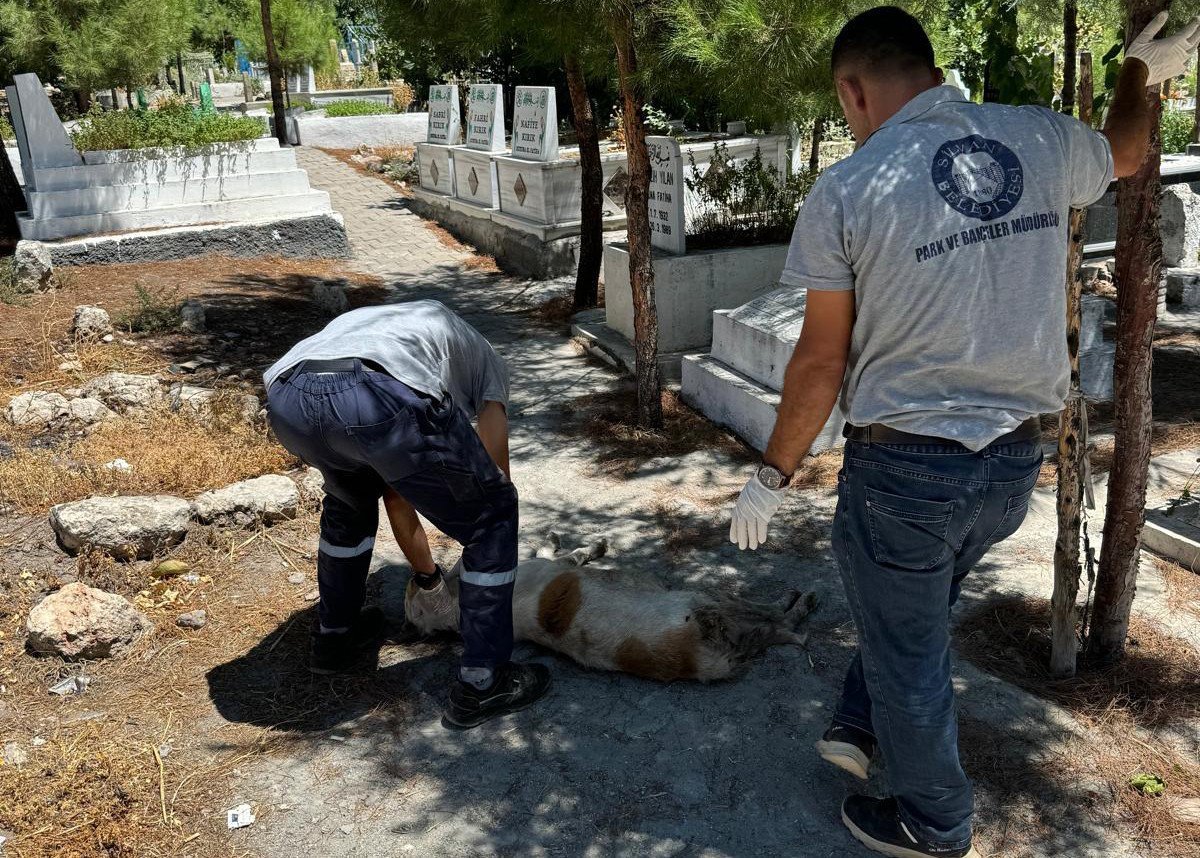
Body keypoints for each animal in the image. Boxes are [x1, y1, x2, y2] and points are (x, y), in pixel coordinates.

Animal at [403, 530, 816, 686]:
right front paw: (589, 545)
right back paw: (798, 607)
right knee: (771, 615)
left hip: (729, 621)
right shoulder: (552, 564)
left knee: (773, 628)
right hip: (707, 597)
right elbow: (566, 552)